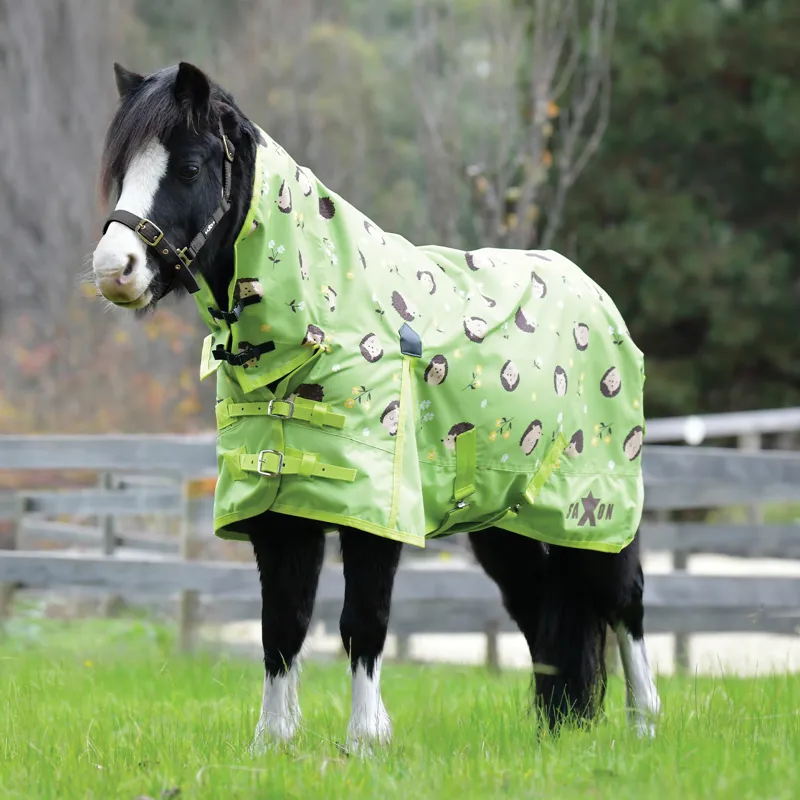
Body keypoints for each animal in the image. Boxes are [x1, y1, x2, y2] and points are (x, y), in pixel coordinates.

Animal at [91, 61, 660, 753]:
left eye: (191, 167)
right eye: (124, 170)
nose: (114, 268)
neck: (320, 318)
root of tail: (596, 296)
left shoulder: (376, 512)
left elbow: (363, 620)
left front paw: (364, 739)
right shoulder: (280, 511)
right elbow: (282, 624)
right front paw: (272, 743)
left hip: (597, 509)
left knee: (623, 601)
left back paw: (643, 725)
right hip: (508, 523)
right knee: (540, 607)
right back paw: (557, 728)